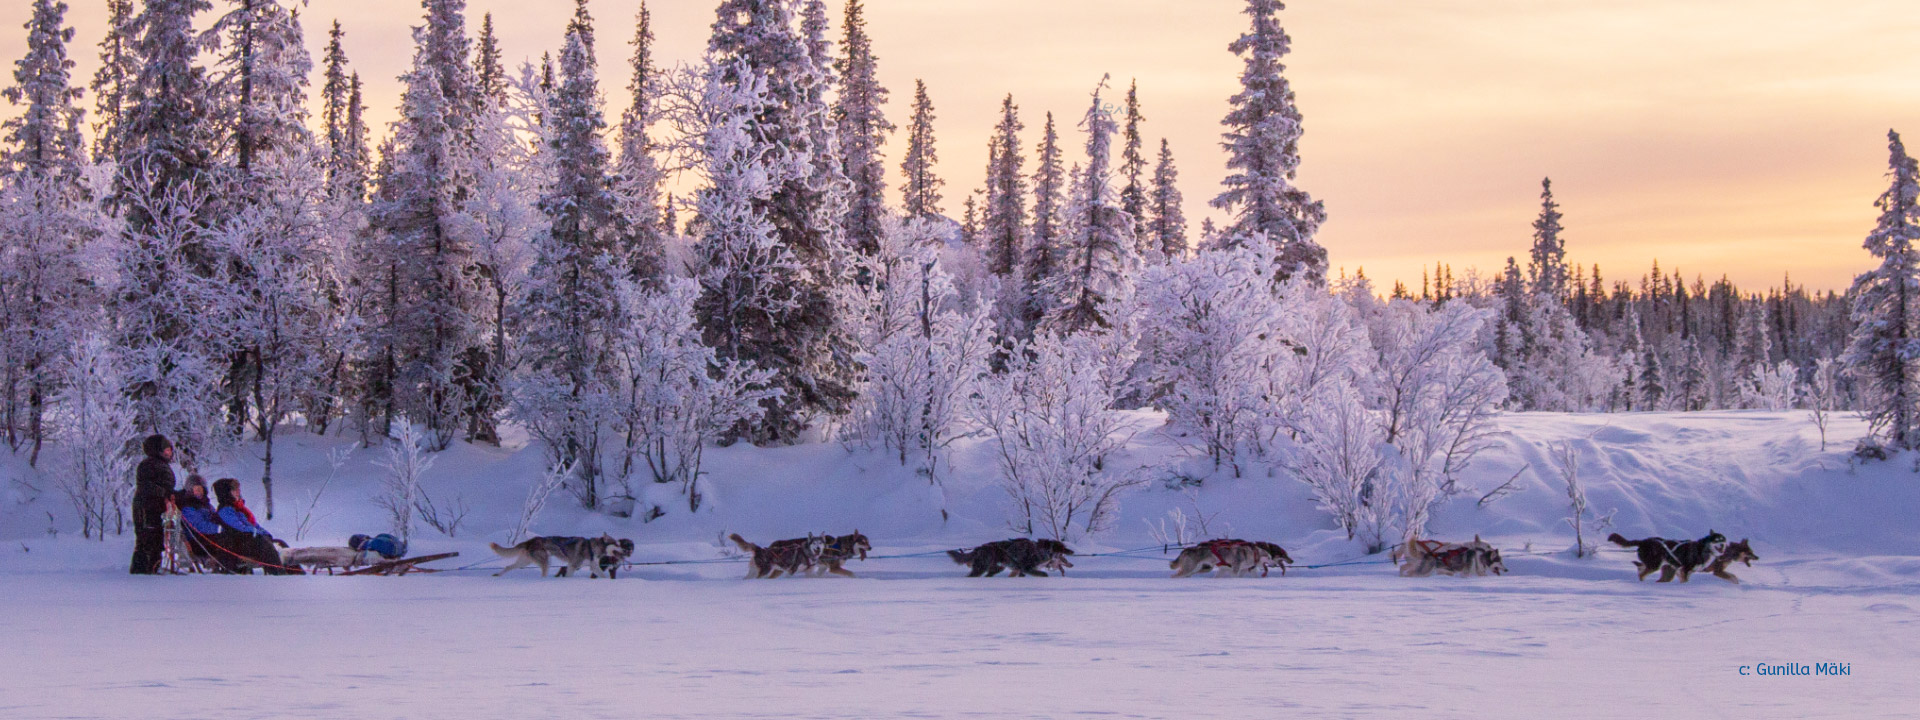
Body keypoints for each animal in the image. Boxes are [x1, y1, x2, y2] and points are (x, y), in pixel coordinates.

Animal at [948, 537, 1082, 579]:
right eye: (1063, 548)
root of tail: (979, 548)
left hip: (996, 568)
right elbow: (1043, 574)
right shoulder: (1027, 568)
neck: (1042, 550)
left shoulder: (1022, 570)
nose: (1072, 551)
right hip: (982, 567)